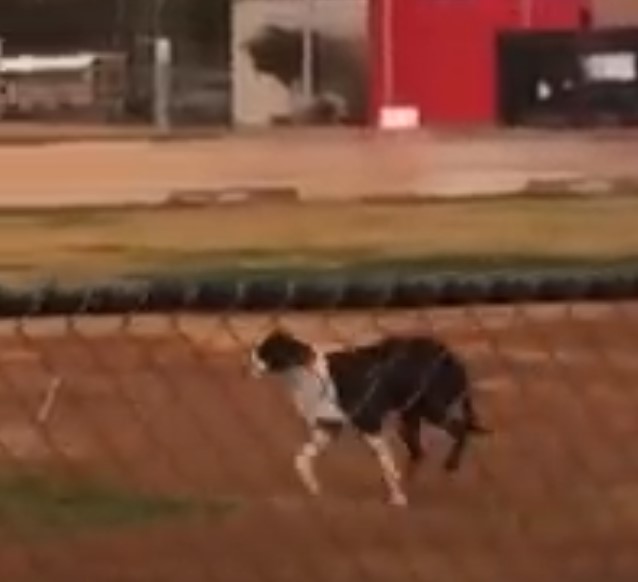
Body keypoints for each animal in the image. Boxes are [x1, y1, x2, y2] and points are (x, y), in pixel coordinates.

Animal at [250, 330, 490, 508]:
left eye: (265, 350)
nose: (250, 354)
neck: (305, 376)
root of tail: (452, 356)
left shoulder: (369, 424)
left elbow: (385, 462)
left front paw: (396, 496)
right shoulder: (327, 428)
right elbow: (301, 459)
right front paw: (312, 486)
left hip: (434, 411)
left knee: (460, 430)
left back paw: (450, 465)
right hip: (409, 419)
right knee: (419, 452)